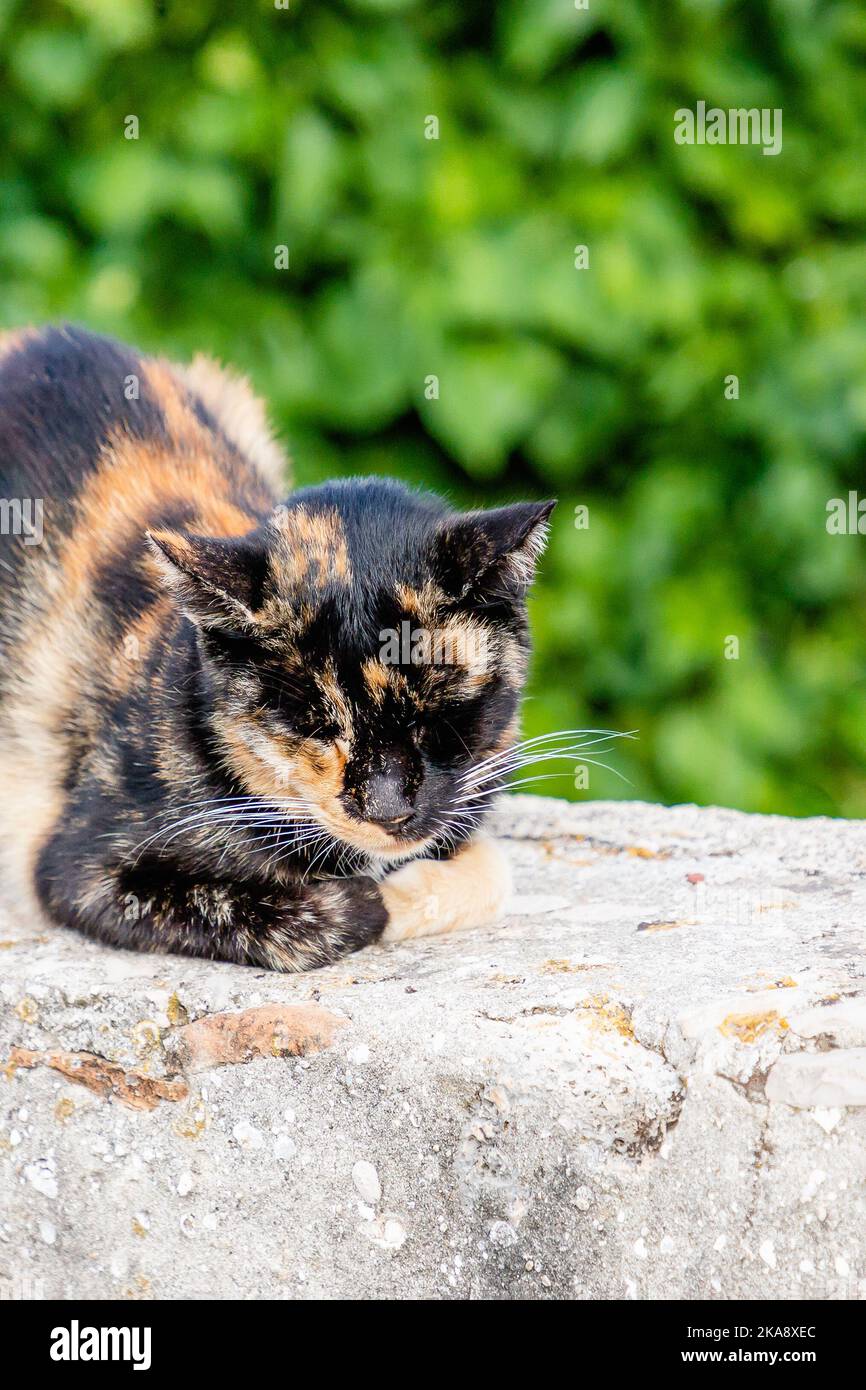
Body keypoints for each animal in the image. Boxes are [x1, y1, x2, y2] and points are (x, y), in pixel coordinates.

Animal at [0, 328, 556, 978]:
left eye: (435, 716)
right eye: (313, 724)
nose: (388, 809)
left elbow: (492, 870)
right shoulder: (81, 865)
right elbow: (315, 915)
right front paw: (370, 899)